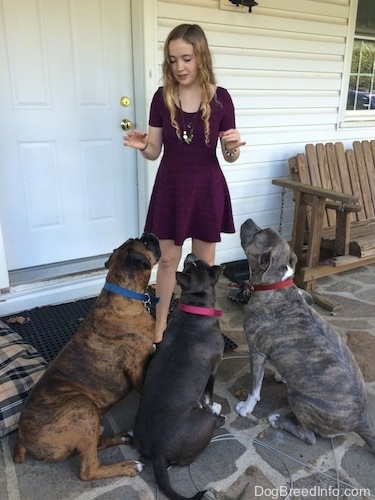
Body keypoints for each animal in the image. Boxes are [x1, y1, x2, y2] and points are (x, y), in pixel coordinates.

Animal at [12, 233, 160, 480]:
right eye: (146, 243)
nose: (151, 235)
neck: (121, 292)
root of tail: (22, 439)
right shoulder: (135, 367)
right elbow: (145, 385)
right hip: (83, 409)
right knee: (89, 470)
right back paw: (128, 466)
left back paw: (120, 436)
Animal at [134, 254, 225, 500]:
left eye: (198, 263)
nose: (191, 255)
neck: (195, 310)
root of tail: (158, 452)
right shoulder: (214, 368)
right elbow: (208, 395)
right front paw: (214, 405)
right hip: (203, 423)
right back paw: (219, 419)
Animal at [236, 219, 374, 450]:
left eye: (257, 235)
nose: (247, 220)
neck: (274, 285)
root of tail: (361, 421)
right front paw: (282, 375)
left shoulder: (256, 352)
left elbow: (255, 387)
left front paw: (246, 408)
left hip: (299, 400)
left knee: (309, 437)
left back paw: (278, 421)